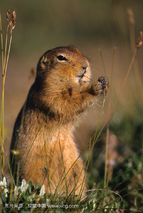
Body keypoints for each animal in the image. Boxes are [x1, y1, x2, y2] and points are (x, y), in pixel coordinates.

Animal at [10, 45, 108, 198]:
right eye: (61, 57)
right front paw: (94, 88)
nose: (85, 65)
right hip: (37, 171)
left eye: (78, 50)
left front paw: (101, 80)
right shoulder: (47, 94)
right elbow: (66, 104)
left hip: (77, 169)